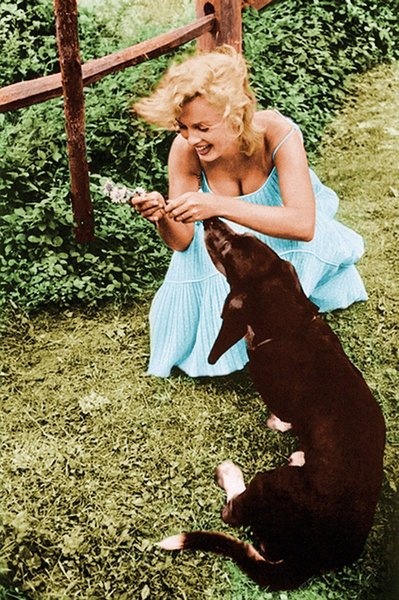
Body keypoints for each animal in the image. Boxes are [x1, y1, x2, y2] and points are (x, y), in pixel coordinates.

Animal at [159, 217, 384, 592]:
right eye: (245, 234)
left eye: (229, 248)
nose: (210, 219)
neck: (290, 322)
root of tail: (308, 560)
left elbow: (282, 417)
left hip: (267, 482)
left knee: (232, 513)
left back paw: (231, 472)